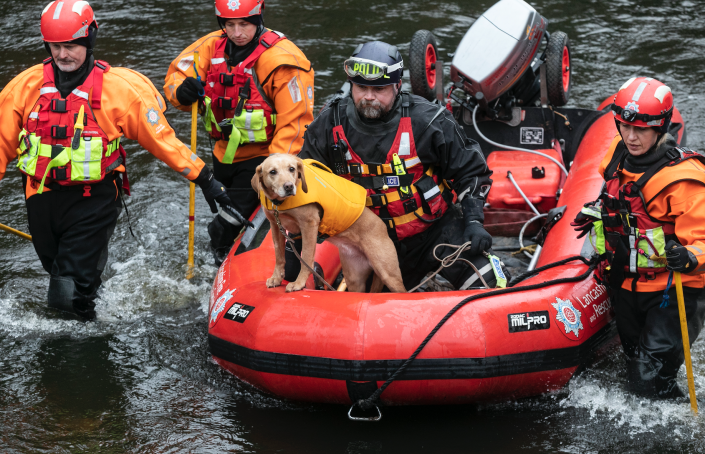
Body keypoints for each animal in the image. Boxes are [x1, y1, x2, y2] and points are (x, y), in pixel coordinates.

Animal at [250, 154, 404, 292]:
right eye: (272, 172)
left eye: (292, 169)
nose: (289, 186)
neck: (279, 204)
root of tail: (383, 225)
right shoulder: (275, 226)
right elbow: (279, 256)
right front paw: (276, 278)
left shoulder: (309, 225)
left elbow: (306, 258)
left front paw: (299, 283)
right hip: (355, 279)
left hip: (389, 275)